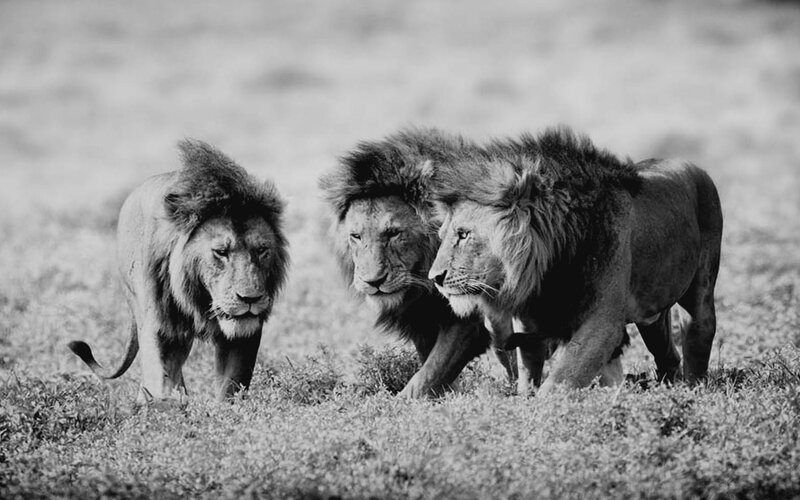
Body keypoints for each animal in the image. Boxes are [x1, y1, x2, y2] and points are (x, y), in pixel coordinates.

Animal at [68, 140, 289, 401]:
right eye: (220, 252)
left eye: (262, 250)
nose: (250, 298)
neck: (198, 299)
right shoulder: (159, 326)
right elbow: (162, 374)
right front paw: (167, 404)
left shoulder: (245, 336)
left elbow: (231, 384)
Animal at [319, 128, 518, 398]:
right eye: (356, 236)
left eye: (393, 233)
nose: (373, 282)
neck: (420, 285)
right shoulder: (421, 323)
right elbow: (431, 369)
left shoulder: (467, 321)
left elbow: (426, 375)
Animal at [426, 128, 722, 393]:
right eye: (442, 235)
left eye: (464, 234)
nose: (435, 278)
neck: (551, 266)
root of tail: (692, 165)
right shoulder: (531, 319)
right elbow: (529, 370)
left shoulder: (602, 323)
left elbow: (563, 377)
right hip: (652, 315)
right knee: (668, 354)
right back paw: (667, 391)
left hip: (701, 288)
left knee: (699, 334)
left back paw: (694, 391)